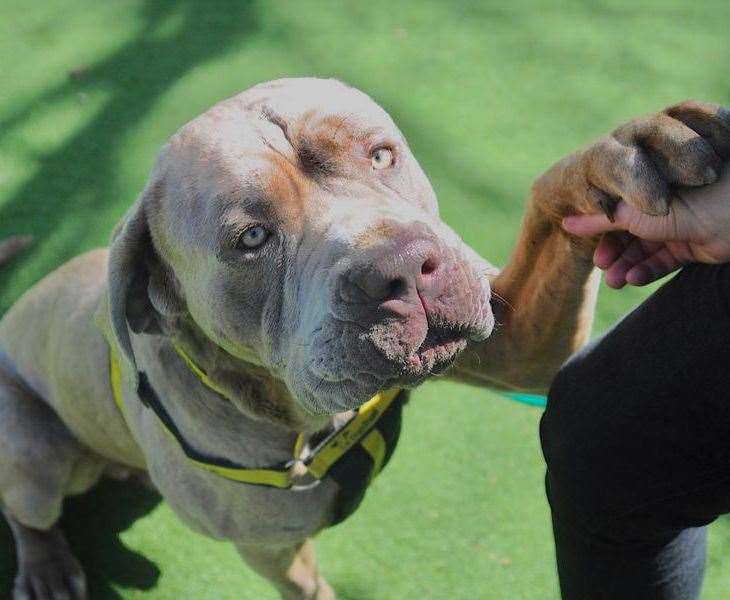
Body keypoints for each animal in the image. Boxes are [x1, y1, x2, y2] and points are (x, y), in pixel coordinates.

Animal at [2, 77, 724, 596]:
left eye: (382, 155)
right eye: (251, 238)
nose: (401, 267)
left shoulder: (521, 346)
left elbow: (550, 201)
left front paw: (633, 152)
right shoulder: (272, 550)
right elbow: (306, 584)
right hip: (37, 456)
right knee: (27, 510)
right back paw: (45, 565)